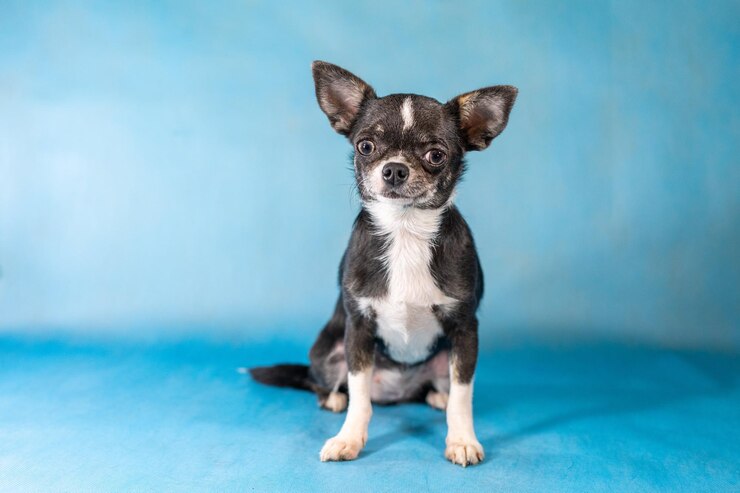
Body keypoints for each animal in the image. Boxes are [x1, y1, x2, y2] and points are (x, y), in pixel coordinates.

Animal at [251, 61, 516, 466]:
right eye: (365, 146)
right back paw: (333, 399)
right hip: (327, 351)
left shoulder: (465, 331)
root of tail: (395, 391)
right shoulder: (358, 330)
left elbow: (462, 397)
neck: (405, 232)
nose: (394, 169)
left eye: (436, 155)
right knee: (324, 384)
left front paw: (462, 440)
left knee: (438, 388)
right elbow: (360, 398)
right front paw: (348, 438)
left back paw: (436, 395)